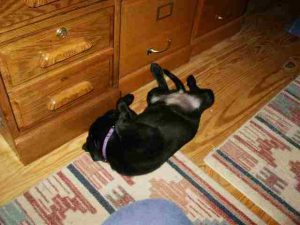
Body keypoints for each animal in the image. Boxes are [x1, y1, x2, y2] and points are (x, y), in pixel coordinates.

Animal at [83, 62, 214, 176]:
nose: (111, 111)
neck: (108, 144)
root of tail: (181, 94)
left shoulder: (131, 119)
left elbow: (121, 104)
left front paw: (128, 98)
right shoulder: (131, 124)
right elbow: (120, 108)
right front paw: (128, 98)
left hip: (200, 96)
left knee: (173, 86)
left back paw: (167, 71)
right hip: (159, 95)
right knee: (171, 86)